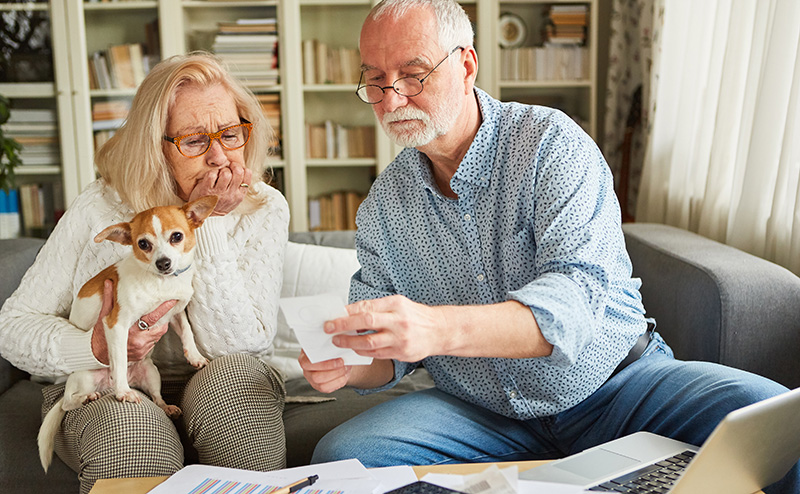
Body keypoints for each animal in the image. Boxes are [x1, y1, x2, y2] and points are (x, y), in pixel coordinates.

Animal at [36, 193, 219, 470]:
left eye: (176, 236)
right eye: (143, 243)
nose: (163, 263)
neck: (161, 283)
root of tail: (104, 386)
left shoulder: (175, 313)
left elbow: (187, 331)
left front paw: (195, 356)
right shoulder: (117, 325)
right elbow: (120, 360)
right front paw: (123, 392)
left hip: (151, 373)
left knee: (156, 396)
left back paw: (166, 406)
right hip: (85, 378)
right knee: (68, 402)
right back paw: (90, 397)